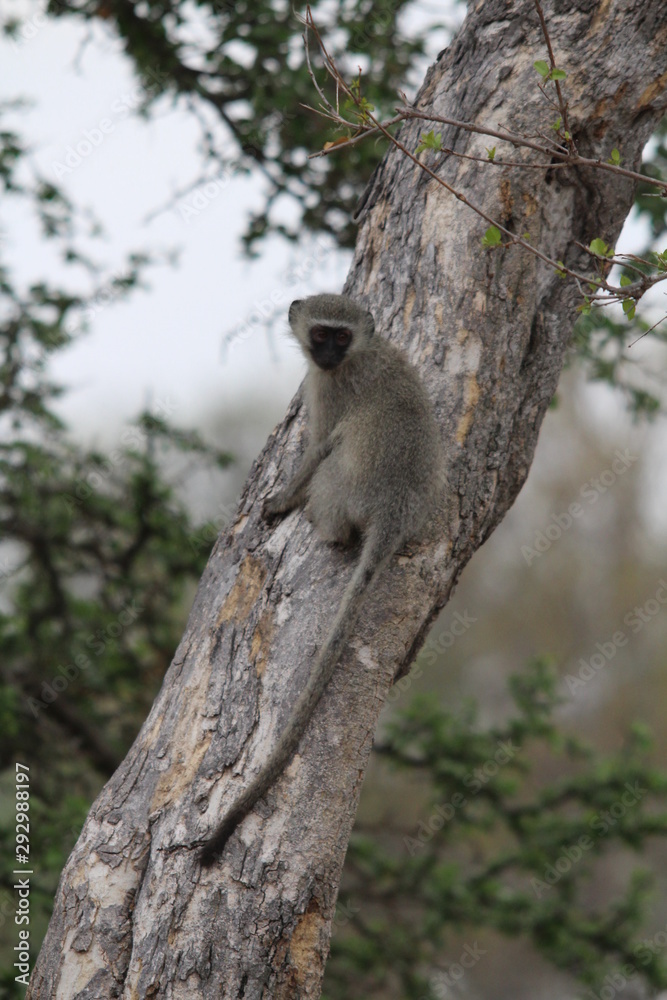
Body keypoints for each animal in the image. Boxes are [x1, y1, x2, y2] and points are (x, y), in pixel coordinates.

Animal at [201, 292, 446, 864]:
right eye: (321, 334)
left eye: (341, 336)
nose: (329, 355)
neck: (359, 355)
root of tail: (395, 512)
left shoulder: (329, 390)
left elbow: (317, 448)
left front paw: (280, 501)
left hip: (343, 491)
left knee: (333, 468)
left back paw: (321, 523)